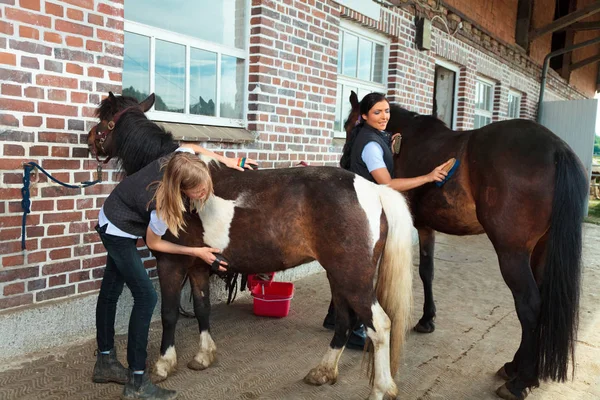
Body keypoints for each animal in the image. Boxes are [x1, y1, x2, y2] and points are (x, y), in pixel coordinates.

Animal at [89, 92, 418, 398]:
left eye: (105, 118)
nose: (90, 140)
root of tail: (373, 190)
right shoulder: (198, 263)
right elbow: (202, 308)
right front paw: (203, 356)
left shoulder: (171, 263)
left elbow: (169, 313)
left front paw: (163, 364)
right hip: (338, 275)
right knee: (344, 321)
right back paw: (323, 372)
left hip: (353, 278)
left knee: (379, 325)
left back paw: (381, 389)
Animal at [344, 91, 588, 400]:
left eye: (348, 125)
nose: (343, 162)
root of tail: (557, 150)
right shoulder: (427, 227)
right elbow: (428, 271)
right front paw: (428, 319)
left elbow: (412, 272)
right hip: (542, 249)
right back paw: (515, 367)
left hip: (512, 253)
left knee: (530, 304)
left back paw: (520, 381)